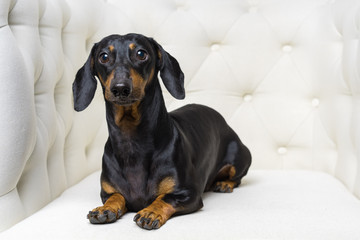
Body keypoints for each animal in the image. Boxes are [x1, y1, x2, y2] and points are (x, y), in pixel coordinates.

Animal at [73, 32, 252, 230]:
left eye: (141, 54)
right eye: (103, 56)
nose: (120, 88)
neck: (132, 141)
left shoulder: (188, 193)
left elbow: (164, 198)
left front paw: (151, 212)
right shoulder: (106, 192)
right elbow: (115, 197)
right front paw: (105, 209)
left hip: (241, 157)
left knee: (237, 177)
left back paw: (225, 183)